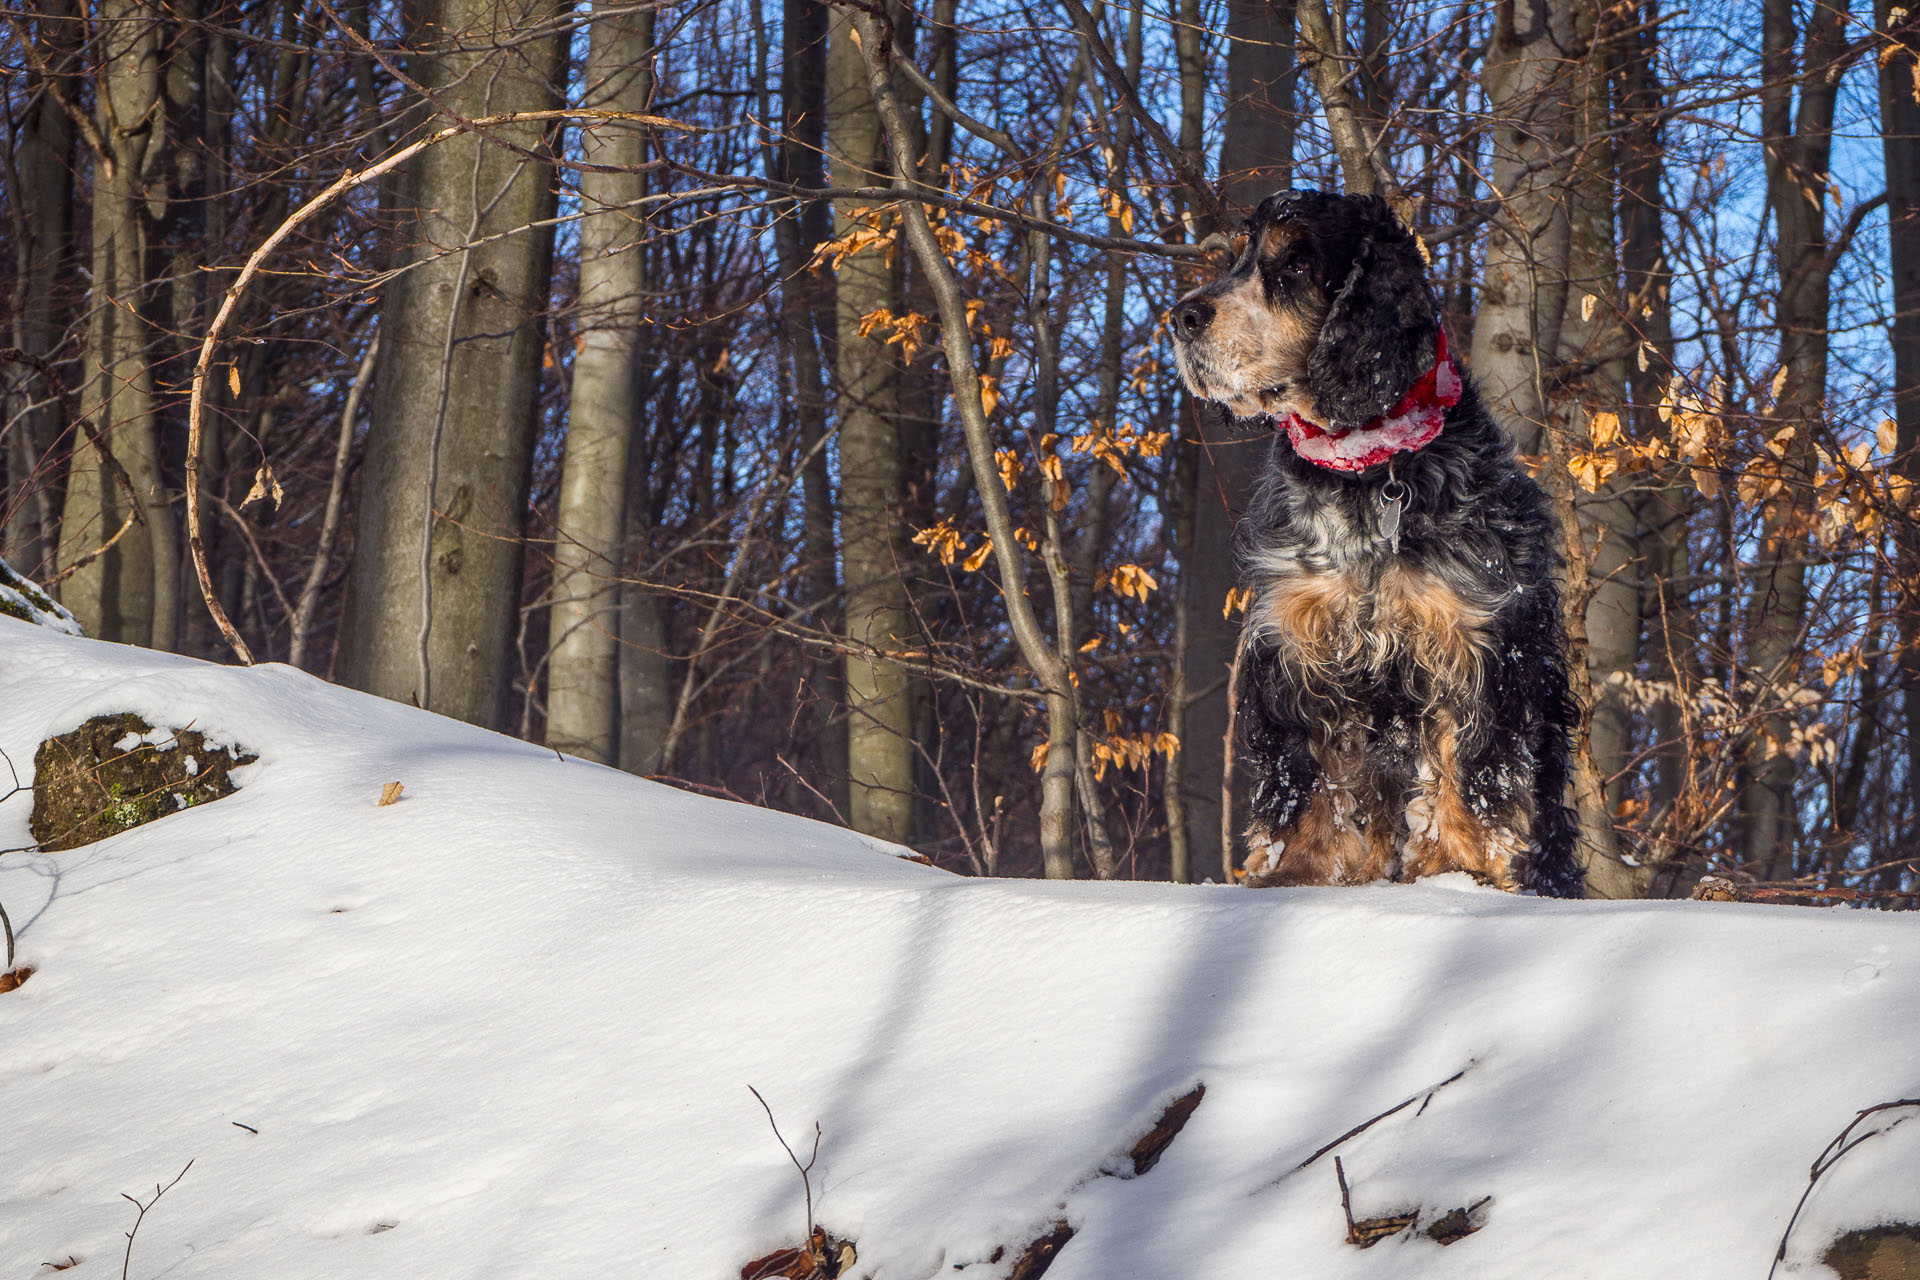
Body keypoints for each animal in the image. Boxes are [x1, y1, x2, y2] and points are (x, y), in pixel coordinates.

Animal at [1167, 188, 1589, 901]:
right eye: (1237, 261)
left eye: (1295, 266)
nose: (1181, 316)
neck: (1367, 473)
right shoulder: (1298, 641)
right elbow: (1305, 777)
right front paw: (1293, 873)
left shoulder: (1475, 645)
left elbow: (1472, 776)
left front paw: (1460, 874)